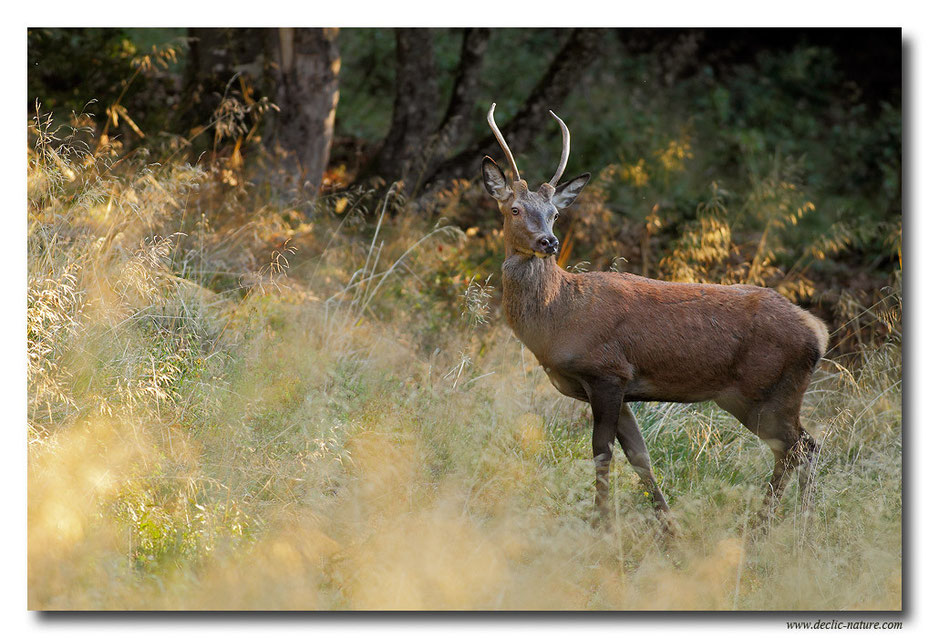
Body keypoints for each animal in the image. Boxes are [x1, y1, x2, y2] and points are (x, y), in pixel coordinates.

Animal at [478, 104, 828, 536]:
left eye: (555, 214)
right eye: (515, 209)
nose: (549, 242)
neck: (560, 317)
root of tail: (819, 333)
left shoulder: (607, 372)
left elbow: (602, 452)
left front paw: (601, 526)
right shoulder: (619, 387)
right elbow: (640, 457)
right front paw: (669, 531)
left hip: (764, 391)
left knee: (801, 448)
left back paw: (781, 528)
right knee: (800, 448)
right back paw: (788, 525)